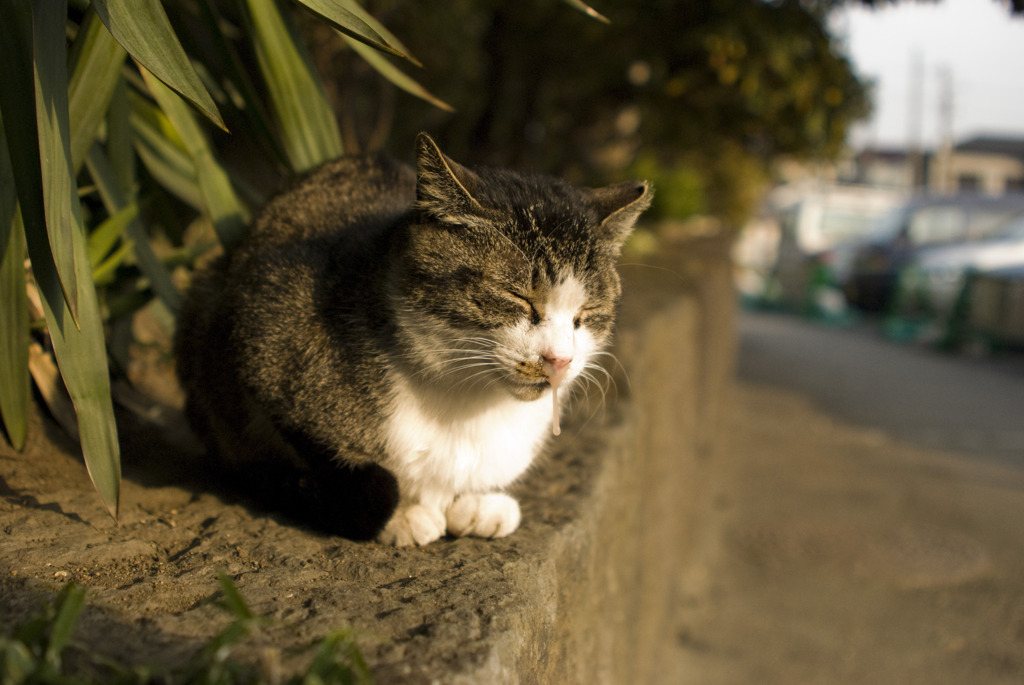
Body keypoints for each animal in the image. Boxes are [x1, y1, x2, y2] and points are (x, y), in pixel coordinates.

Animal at [174, 133, 647, 544]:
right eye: (517, 297)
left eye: (587, 315)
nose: (559, 360)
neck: (465, 403)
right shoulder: (261, 342)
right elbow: (340, 472)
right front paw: (401, 516)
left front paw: (476, 503)